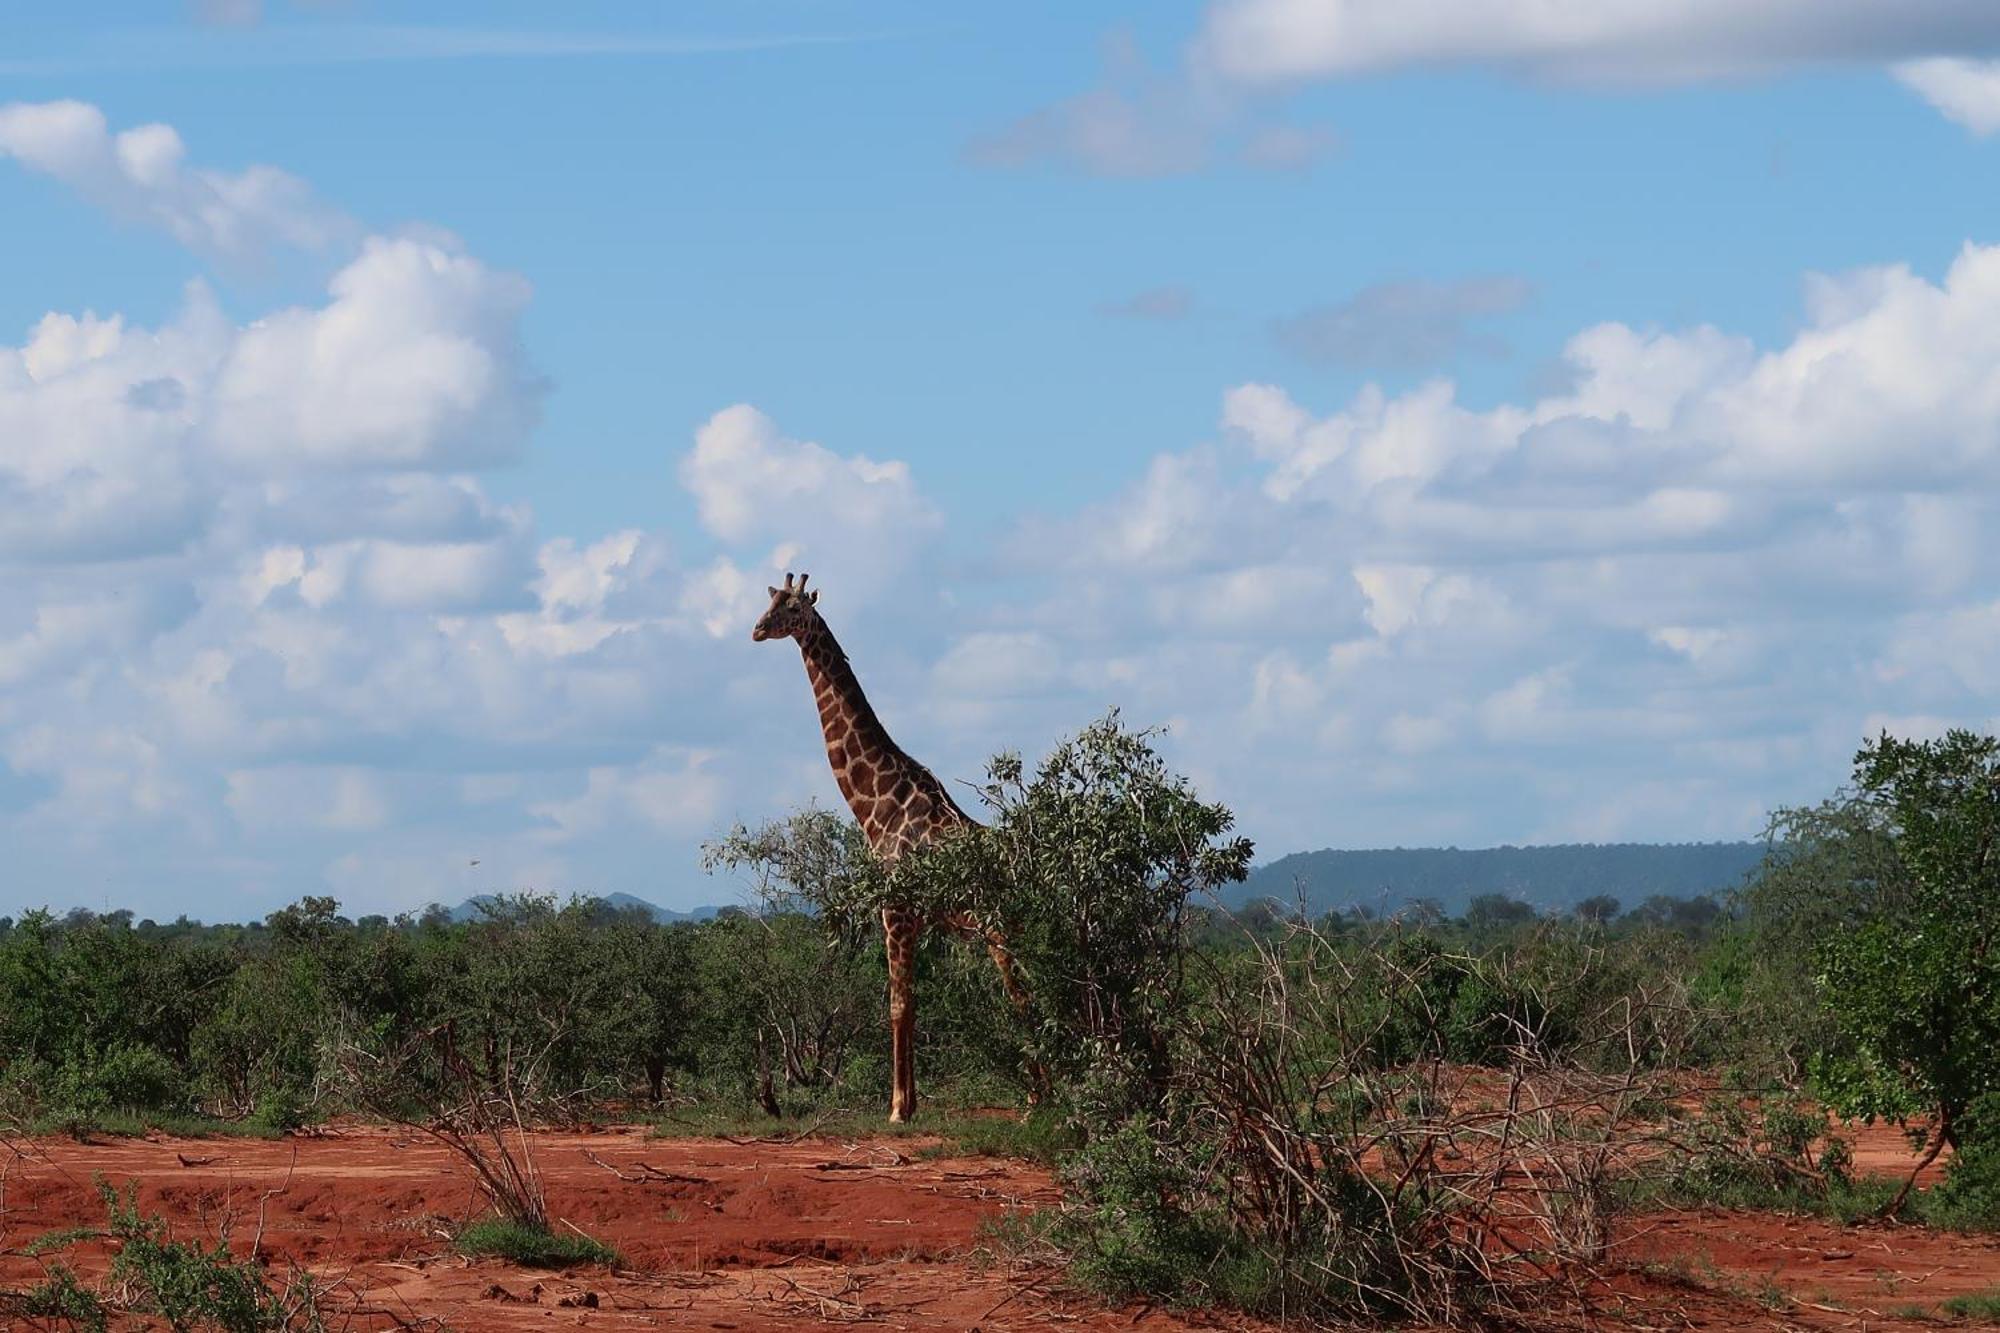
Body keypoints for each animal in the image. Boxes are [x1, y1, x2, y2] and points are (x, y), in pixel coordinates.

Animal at [752, 572, 1032, 1120]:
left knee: (1026, 999)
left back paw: (1041, 1097)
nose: (756, 630)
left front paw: (898, 1108)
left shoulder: (895, 911)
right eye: (769, 601)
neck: (877, 806)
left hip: (1000, 930)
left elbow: (897, 1004)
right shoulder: (914, 919)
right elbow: (913, 1003)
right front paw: (912, 1102)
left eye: (794, 608)